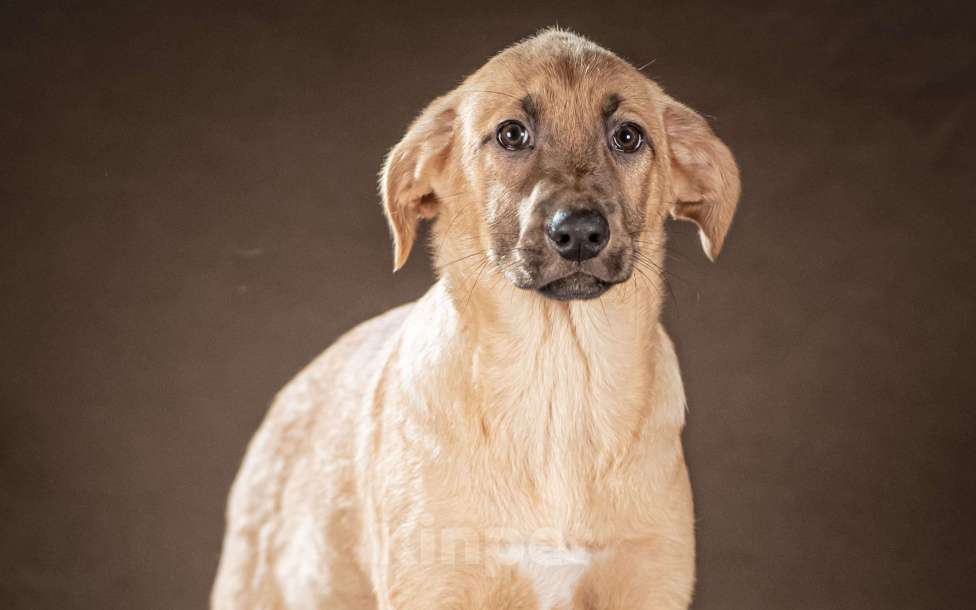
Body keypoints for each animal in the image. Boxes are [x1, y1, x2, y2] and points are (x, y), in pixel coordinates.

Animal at [211, 28, 740, 610]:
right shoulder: (434, 580)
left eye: (628, 136)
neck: (558, 381)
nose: (580, 232)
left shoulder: (647, 577)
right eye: (511, 134)